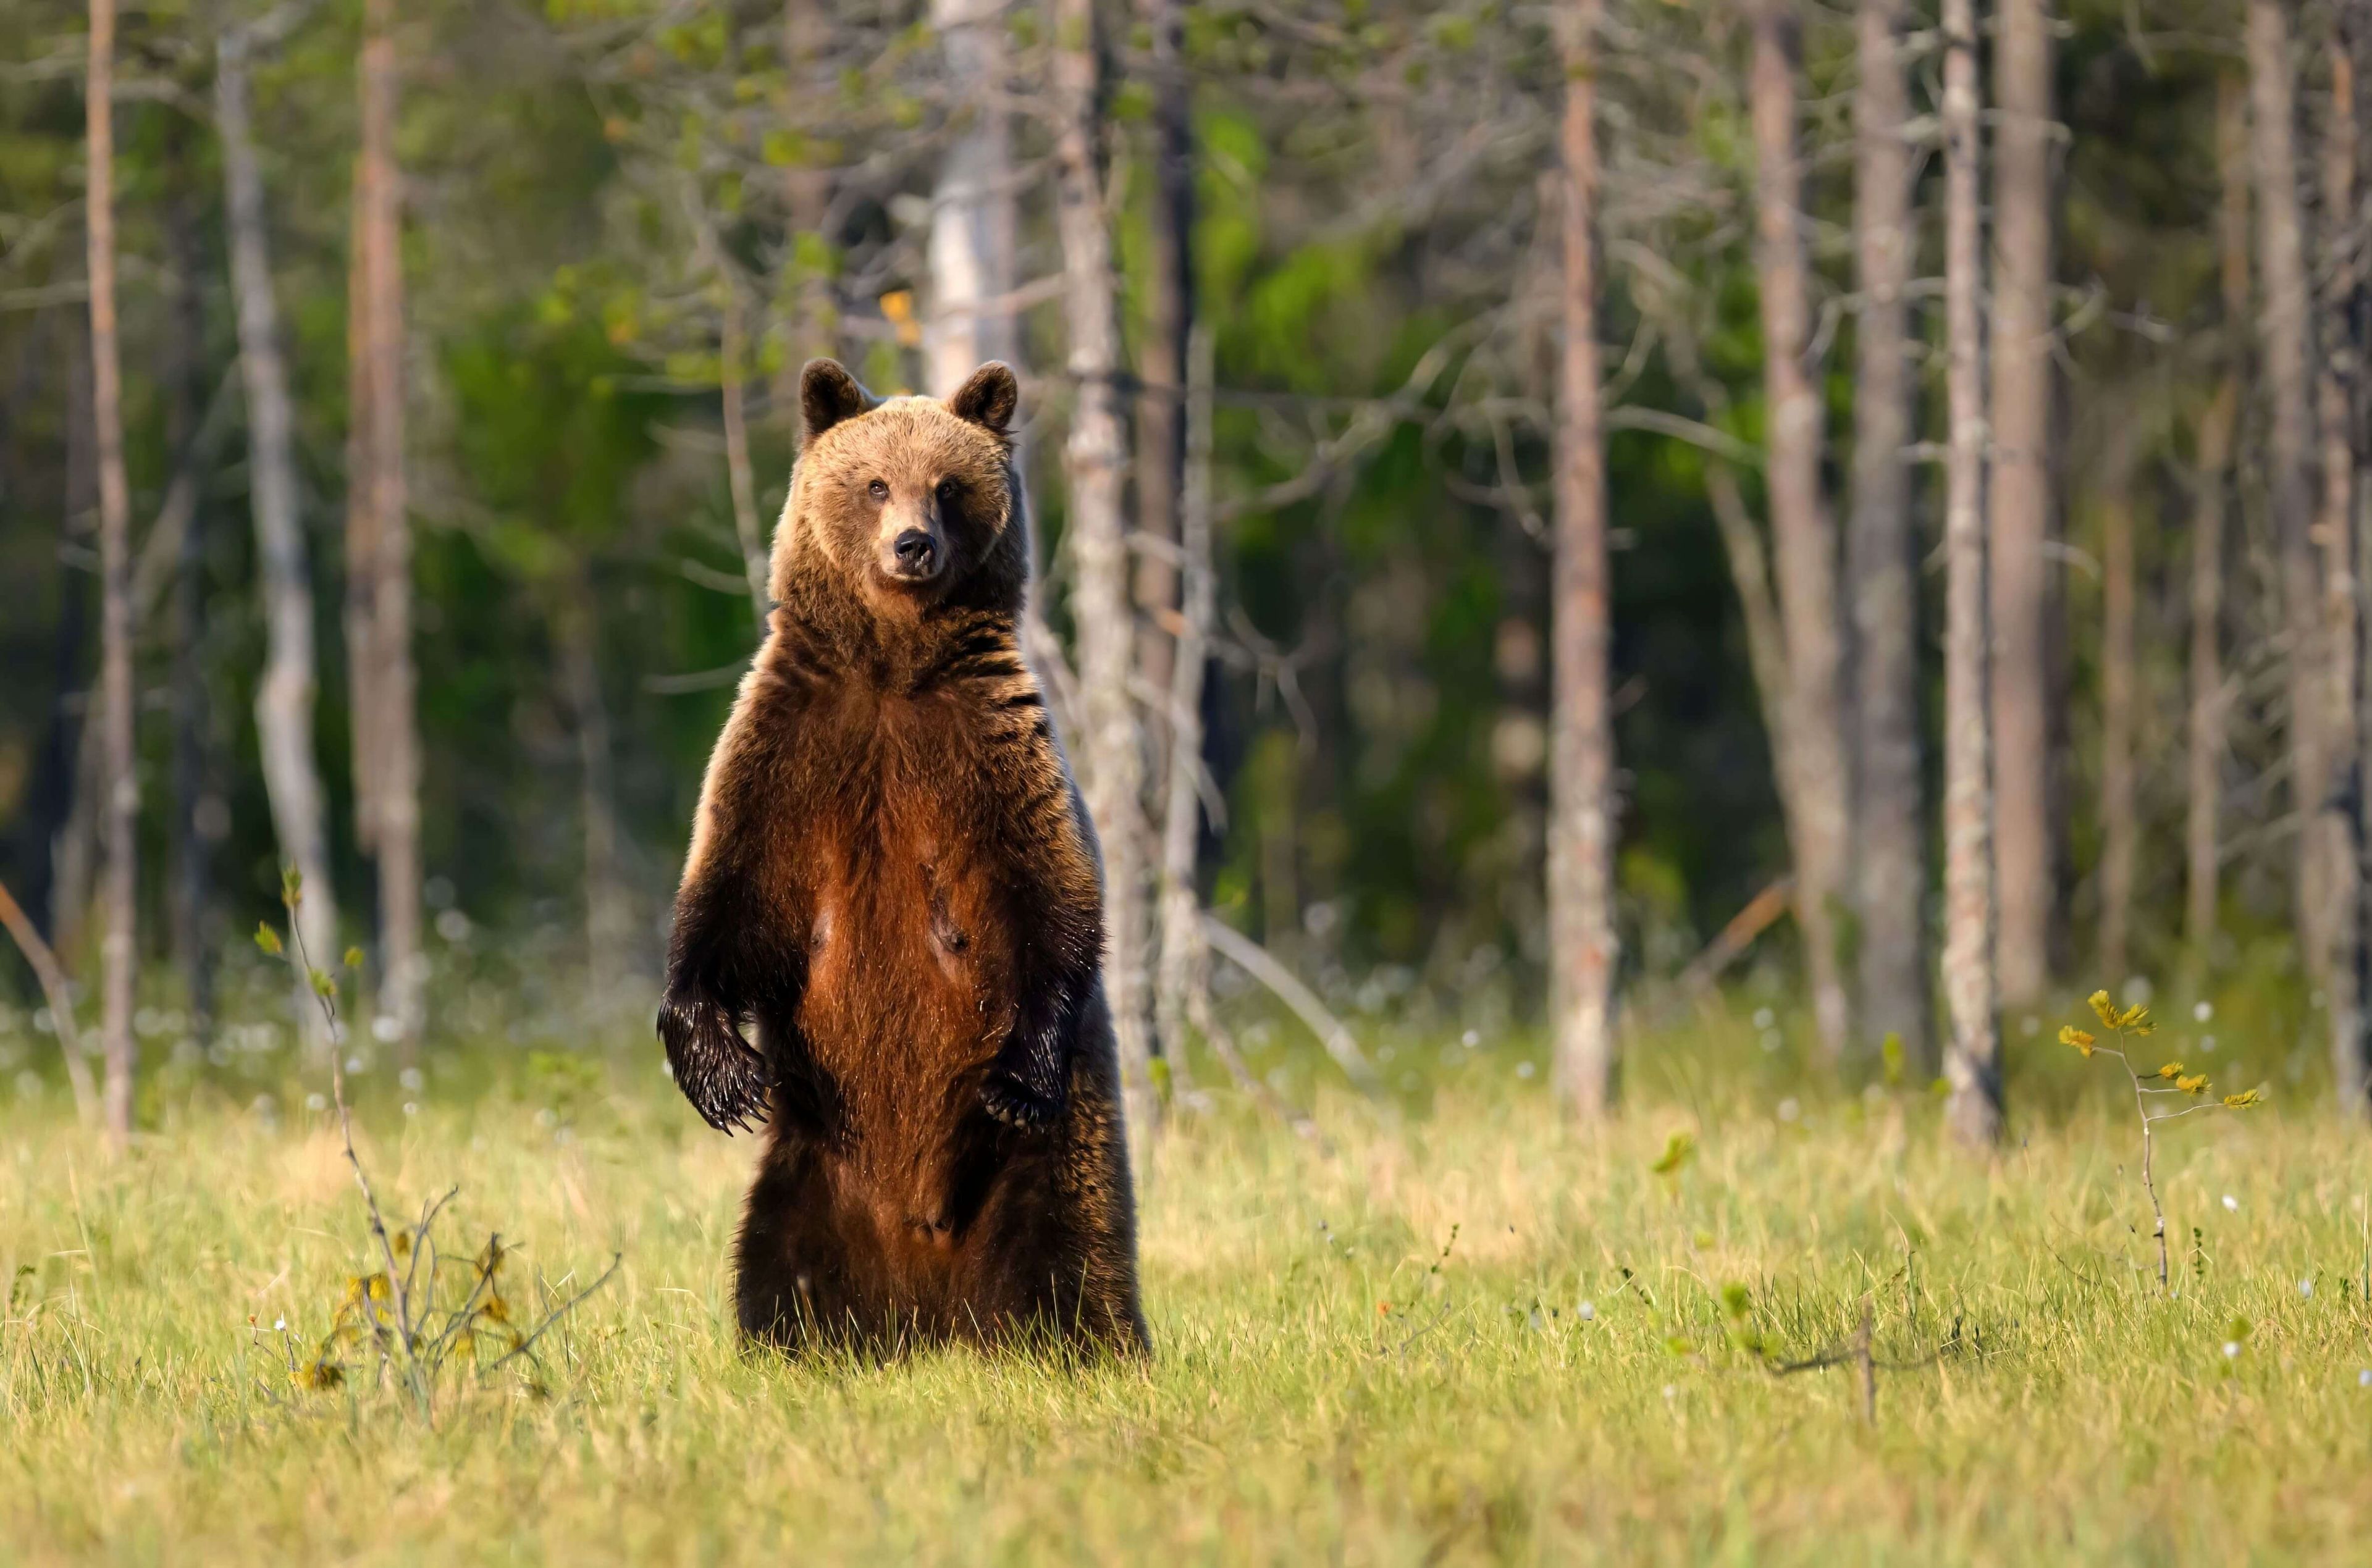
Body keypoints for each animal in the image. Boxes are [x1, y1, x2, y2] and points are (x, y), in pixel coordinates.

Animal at [657, 357, 1150, 1360]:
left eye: (949, 484)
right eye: (876, 482)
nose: (914, 545)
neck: (891, 665)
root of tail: (930, 1305)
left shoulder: (992, 752)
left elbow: (1052, 895)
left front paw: (1017, 1076)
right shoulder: (793, 746)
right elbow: (731, 892)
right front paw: (721, 1073)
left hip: (1052, 1160)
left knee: (1073, 1258)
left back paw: (1087, 1344)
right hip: (809, 1165)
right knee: (775, 1269)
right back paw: (801, 1340)